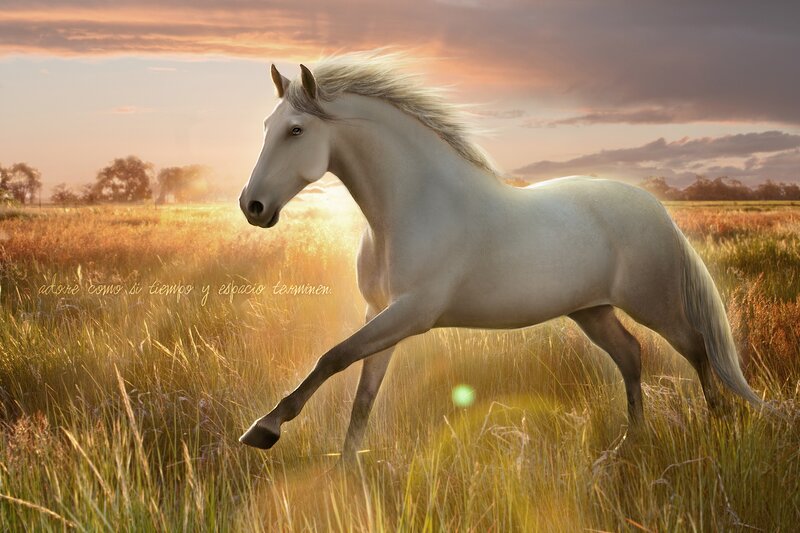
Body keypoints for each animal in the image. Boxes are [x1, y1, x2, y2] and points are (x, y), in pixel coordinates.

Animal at [237, 50, 763, 461]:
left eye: (296, 130)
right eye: (265, 126)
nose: (252, 206)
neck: (413, 205)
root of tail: (656, 208)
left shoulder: (411, 314)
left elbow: (332, 357)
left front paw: (264, 429)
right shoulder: (380, 312)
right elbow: (363, 391)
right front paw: (346, 469)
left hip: (655, 304)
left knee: (696, 347)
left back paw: (717, 425)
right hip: (591, 311)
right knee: (631, 355)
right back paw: (627, 446)